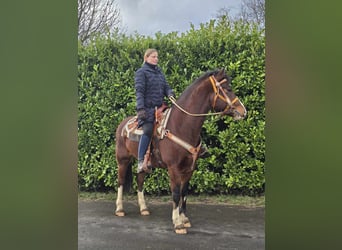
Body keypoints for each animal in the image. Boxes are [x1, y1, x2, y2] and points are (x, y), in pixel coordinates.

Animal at [114, 68, 246, 234]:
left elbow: (184, 193)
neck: (181, 125)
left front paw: (184, 219)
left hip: (143, 164)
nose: (243, 111)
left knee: (140, 181)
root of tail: (122, 124)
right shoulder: (174, 169)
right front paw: (178, 223)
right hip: (122, 160)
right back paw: (119, 209)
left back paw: (144, 209)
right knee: (120, 182)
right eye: (228, 89)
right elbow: (176, 194)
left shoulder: (189, 168)